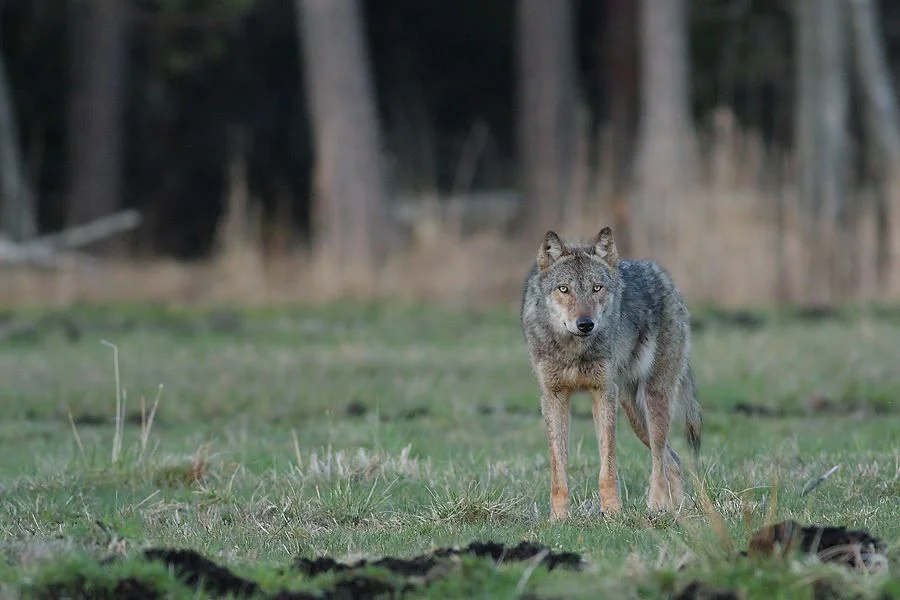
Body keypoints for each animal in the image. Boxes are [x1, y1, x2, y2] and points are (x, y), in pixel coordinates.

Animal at [520, 227, 704, 516]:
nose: (585, 324)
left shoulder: (603, 392)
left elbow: (608, 464)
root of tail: (665, 277)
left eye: (597, 288)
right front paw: (558, 518)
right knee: (673, 460)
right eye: (564, 289)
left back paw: (656, 506)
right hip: (634, 413)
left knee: (659, 458)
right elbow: (558, 467)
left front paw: (613, 513)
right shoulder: (553, 397)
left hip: (652, 400)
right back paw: (676, 511)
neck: (575, 350)